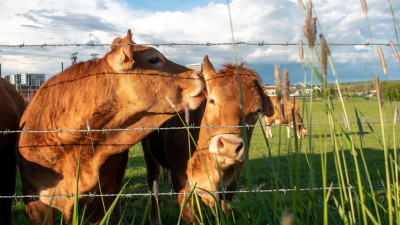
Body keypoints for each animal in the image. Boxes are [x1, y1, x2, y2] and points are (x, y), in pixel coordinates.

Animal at [141, 56, 276, 225]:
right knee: (153, 182)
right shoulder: (182, 183)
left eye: (256, 111)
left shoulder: (231, 184)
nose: (230, 146)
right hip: (149, 154)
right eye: (212, 100)